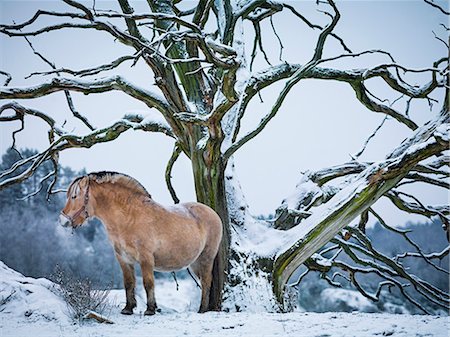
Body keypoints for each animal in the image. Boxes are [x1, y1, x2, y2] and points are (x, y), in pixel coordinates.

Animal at [58, 172, 223, 314]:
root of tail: (213, 213)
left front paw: (150, 309)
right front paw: (128, 308)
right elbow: (129, 283)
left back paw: (202, 309)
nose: (62, 221)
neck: (130, 217)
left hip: (206, 258)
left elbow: (148, 283)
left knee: (206, 281)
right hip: (195, 262)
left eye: (74, 196)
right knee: (203, 281)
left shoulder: (146, 258)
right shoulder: (123, 259)